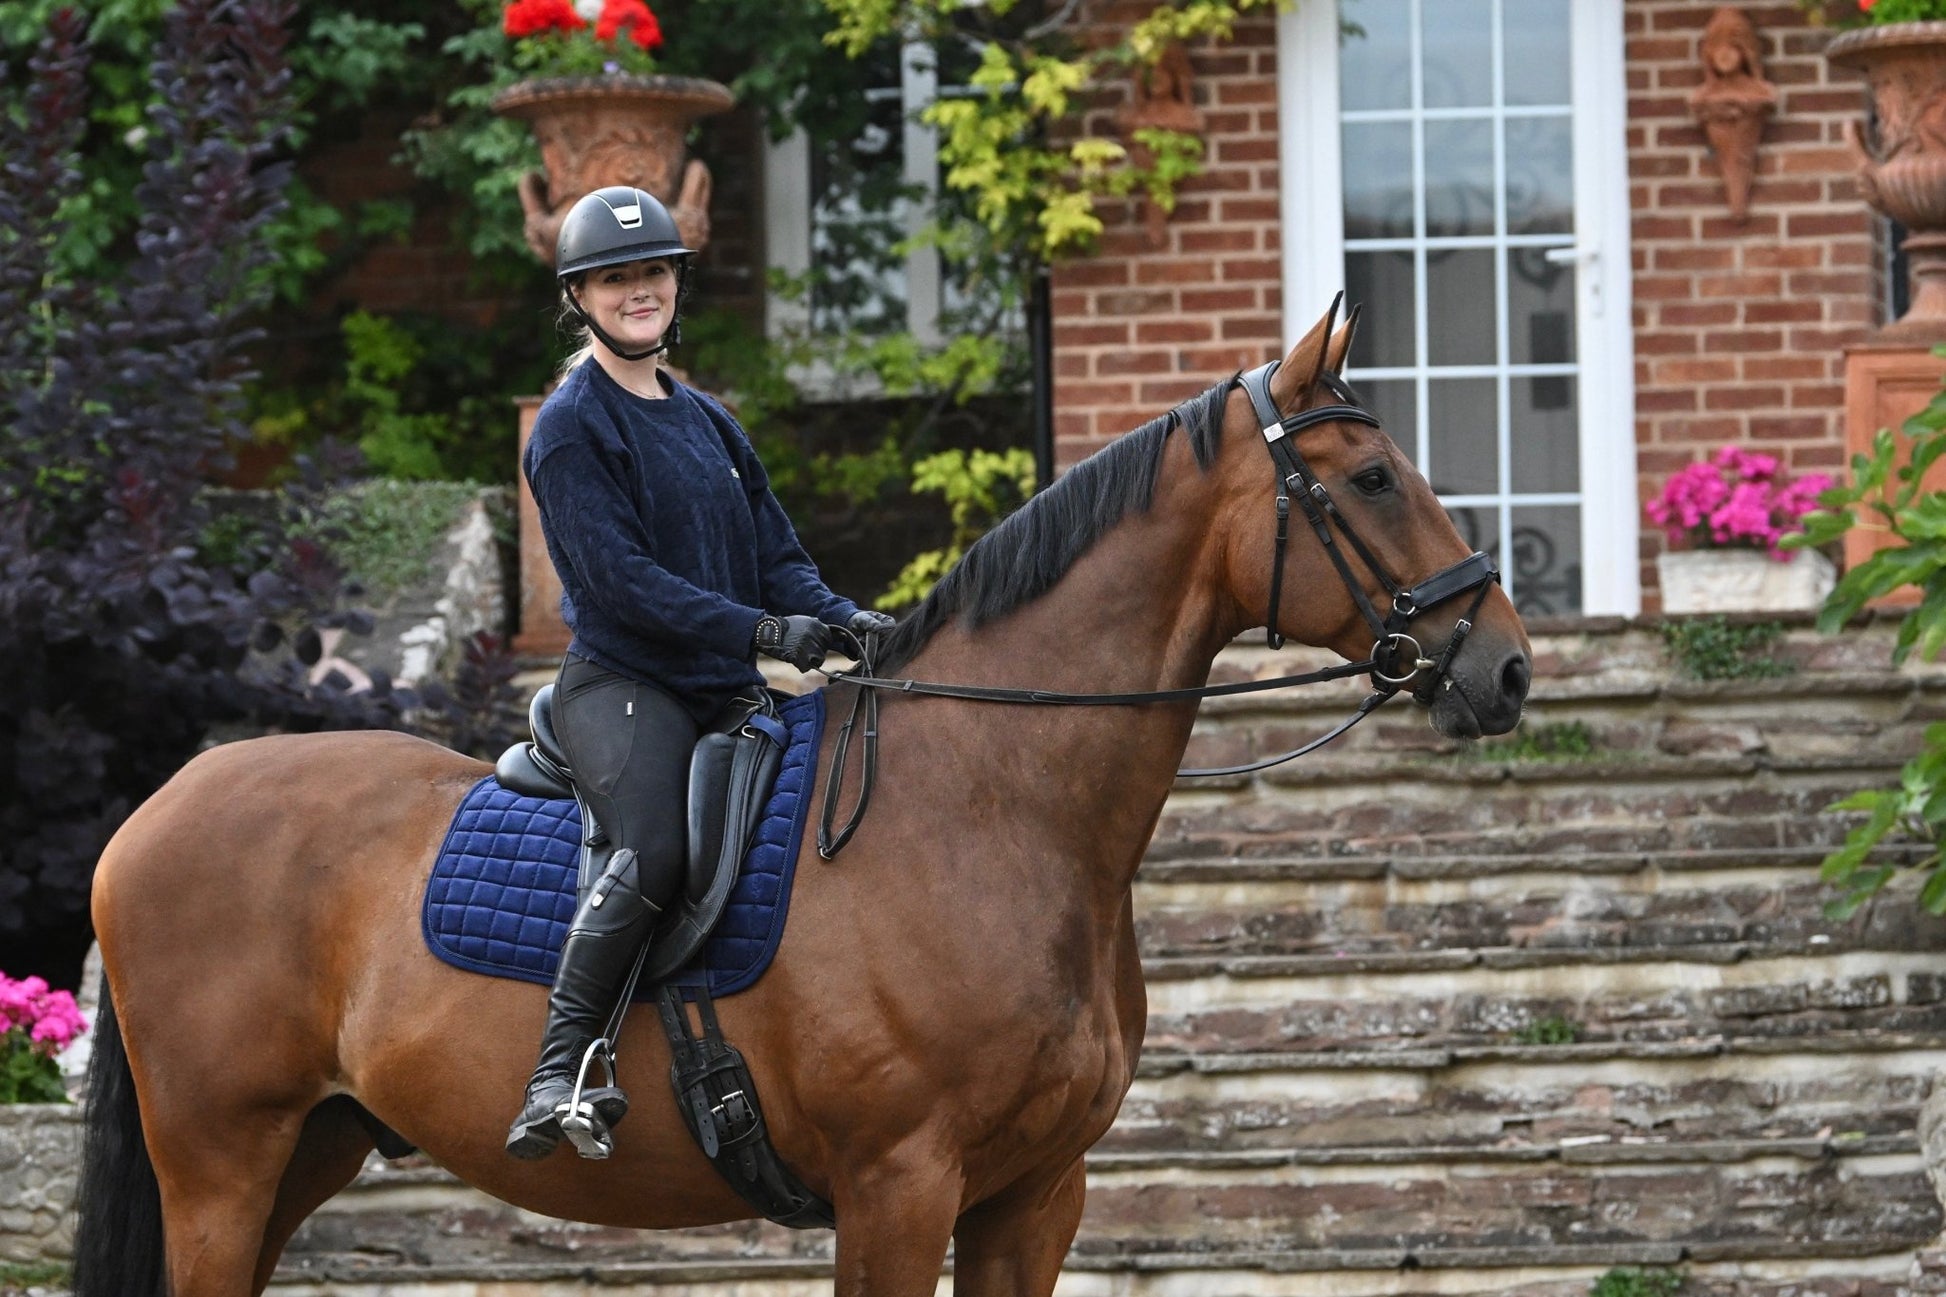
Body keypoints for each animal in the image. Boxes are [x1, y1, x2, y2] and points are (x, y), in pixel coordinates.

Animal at [79, 297, 1533, 1285]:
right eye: (1367, 477)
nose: (1504, 667)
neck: (988, 810)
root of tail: (163, 803)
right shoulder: (898, 1186)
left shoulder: (1030, 1198)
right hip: (220, 1159)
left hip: (308, 1147)